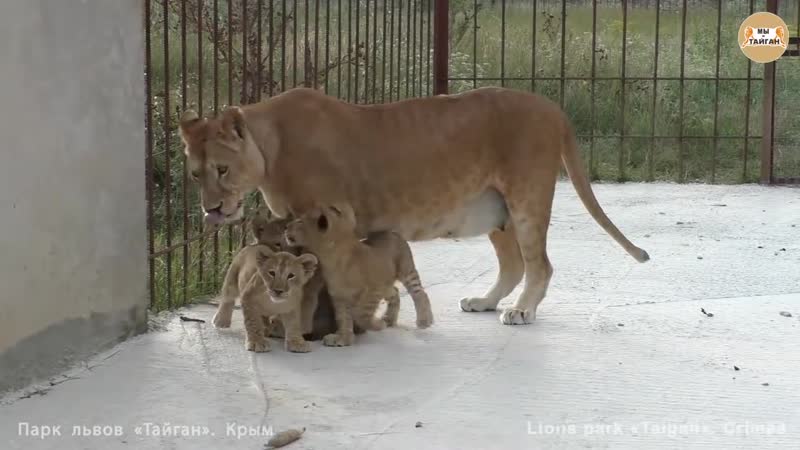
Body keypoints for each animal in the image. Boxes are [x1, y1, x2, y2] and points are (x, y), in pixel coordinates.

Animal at [180, 86, 649, 326]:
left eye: (222, 169)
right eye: (195, 174)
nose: (212, 210)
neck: (269, 147)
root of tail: (554, 107)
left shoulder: (330, 221)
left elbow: (319, 281)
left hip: (527, 198)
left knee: (540, 265)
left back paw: (520, 311)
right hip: (497, 212)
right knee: (514, 264)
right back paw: (484, 302)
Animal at [285, 202, 434, 346]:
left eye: (299, 221)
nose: (286, 227)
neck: (331, 259)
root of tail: (391, 231)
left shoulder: (374, 290)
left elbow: (361, 315)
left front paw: (377, 324)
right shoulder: (340, 297)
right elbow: (343, 319)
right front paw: (343, 339)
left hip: (406, 271)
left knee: (419, 293)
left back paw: (424, 320)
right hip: (386, 284)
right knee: (395, 292)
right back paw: (389, 319)